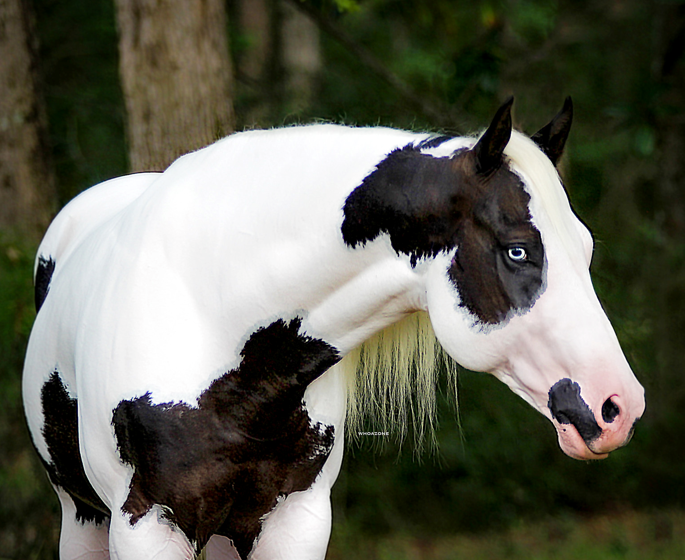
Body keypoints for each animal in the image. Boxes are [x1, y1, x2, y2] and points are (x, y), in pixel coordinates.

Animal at [21, 97, 640, 560]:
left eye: (585, 249)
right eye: (517, 250)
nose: (618, 406)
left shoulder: (295, 520)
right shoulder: (145, 525)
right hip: (83, 517)